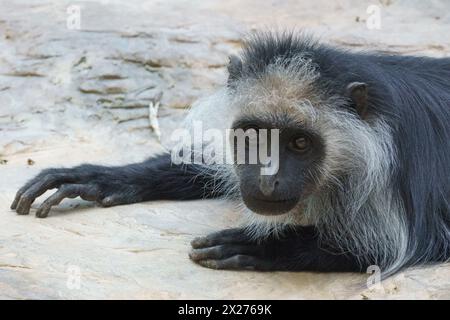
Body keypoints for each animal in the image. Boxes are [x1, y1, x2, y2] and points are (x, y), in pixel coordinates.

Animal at [10, 33, 450, 278]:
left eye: (299, 144)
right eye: (254, 138)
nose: (268, 180)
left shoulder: (396, 177)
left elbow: (385, 249)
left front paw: (261, 247)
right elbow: (201, 168)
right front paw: (99, 177)